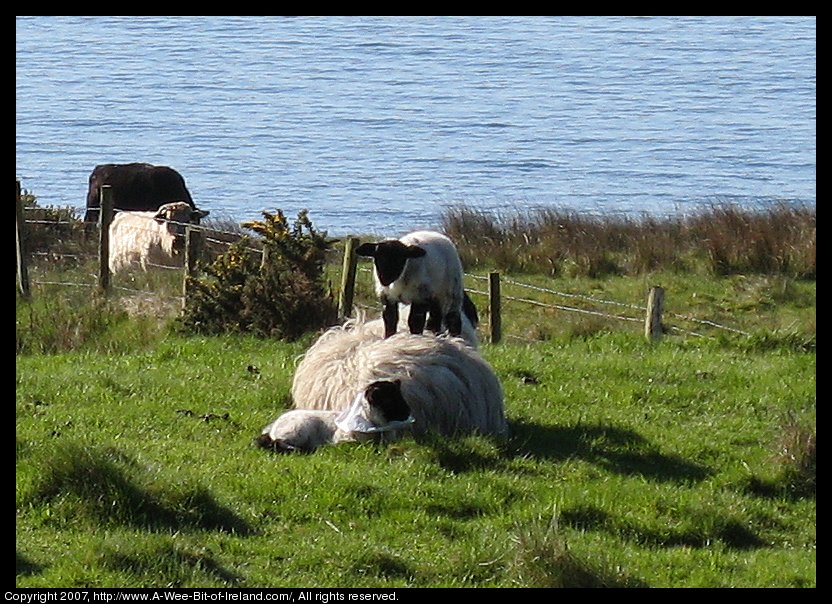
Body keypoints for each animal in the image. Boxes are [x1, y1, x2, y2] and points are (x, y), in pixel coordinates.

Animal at [255, 378, 414, 452]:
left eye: (401, 397)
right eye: (391, 401)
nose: (408, 412)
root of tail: (273, 426)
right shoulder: (344, 440)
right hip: (298, 429)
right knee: (276, 442)